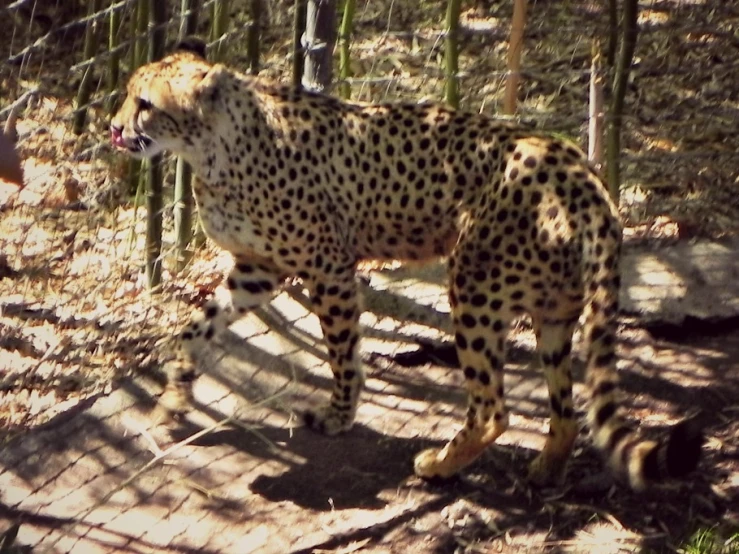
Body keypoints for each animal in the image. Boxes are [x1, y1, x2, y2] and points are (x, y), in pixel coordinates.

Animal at [111, 40, 704, 488]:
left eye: (145, 103)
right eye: (128, 96)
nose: (114, 129)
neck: (211, 147)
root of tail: (582, 170)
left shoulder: (328, 268)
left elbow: (342, 354)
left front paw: (338, 416)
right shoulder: (259, 268)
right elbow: (195, 330)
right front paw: (173, 398)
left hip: (474, 286)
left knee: (494, 407)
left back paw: (438, 465)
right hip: (554, 310)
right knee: (566, 411)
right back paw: (543, 471)